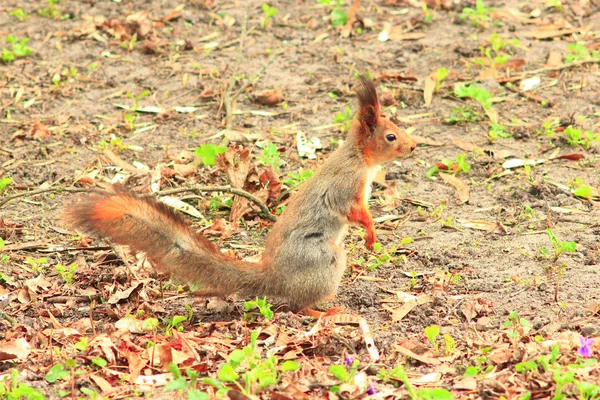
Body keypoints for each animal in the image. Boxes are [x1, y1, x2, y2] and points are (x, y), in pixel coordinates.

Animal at [64, 76, 412, 312]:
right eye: (390, 136)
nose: (413, 146)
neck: (360, 158)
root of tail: (273, 276)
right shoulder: (346, 188)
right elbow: (355, 213)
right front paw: (371, 232)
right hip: (325, 260)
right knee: (296, 306)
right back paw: (326, 310)